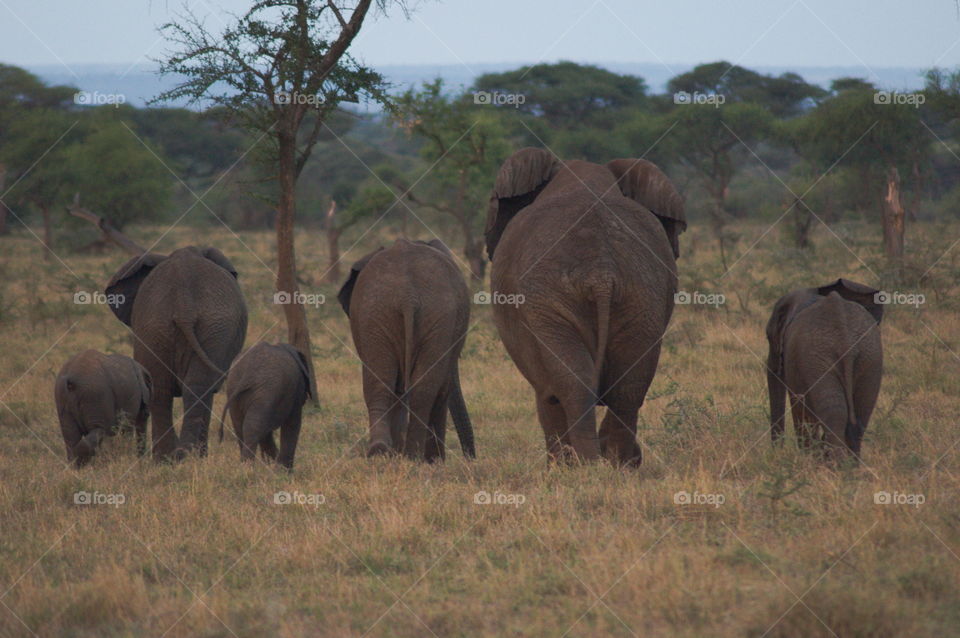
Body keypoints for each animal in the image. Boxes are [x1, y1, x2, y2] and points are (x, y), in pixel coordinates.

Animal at [104, 248, 248, 462]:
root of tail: (184, 304)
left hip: (179, 327)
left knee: (169, 389)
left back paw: (171, 458)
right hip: (174, 326)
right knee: (183, 388)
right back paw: (180, 457)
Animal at [218, 342, 310, 472]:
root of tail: (248, 375)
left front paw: (273, 464)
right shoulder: (296, 392)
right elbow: (292, 424)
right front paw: (284, 471)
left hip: (234, 389)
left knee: (241, 426)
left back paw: (244, 467)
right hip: (265, 392)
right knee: (253, 427)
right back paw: (248, 468)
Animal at [338, 238, 476, 462]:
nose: (470, 458)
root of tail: (408, 294)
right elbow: (442, 387)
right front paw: (434, 460)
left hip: (380, 313)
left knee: (382, 383)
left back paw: (384, 453)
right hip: (417, 314)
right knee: (422, 387)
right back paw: (414, 457)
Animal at [488, 150, 684, 470]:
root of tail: (601, 272)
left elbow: (547, 393)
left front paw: (559, 469)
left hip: (548, 301)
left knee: (568, 386)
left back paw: (583, 466)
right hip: (642, 297)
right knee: (628, 387)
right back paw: (617, 465)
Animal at [764, 280, 884, 460]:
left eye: (768, 336)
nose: (777, 452)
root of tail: (844, 336)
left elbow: (800, 411)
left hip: (819, 357)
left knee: (834, 416)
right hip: (869, 358)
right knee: (860, 416)